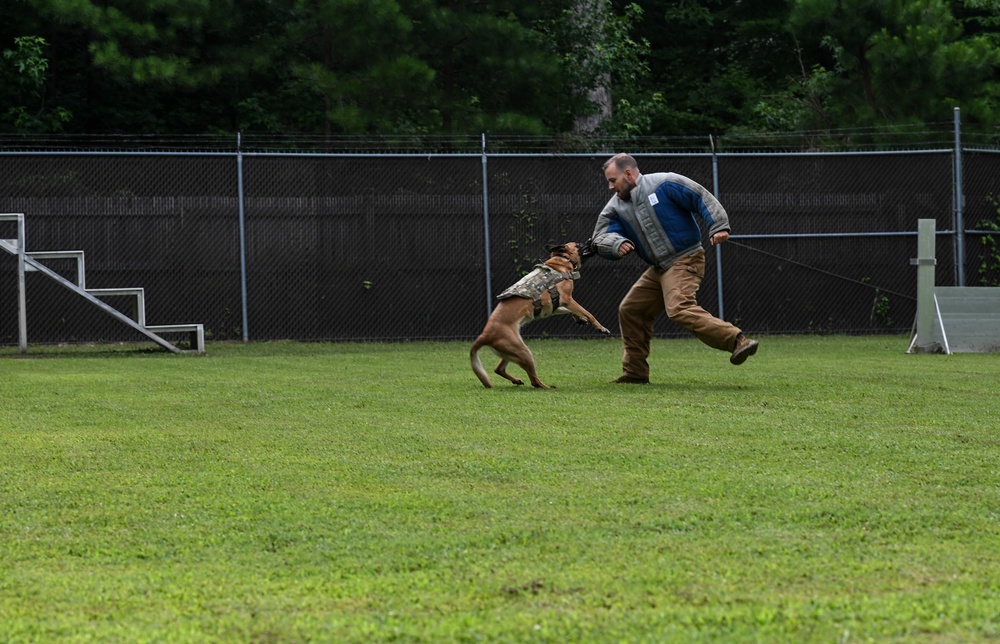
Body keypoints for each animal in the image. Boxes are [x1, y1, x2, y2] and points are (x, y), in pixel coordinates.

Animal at [470, 240, 608, 388]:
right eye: (578, 244)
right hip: (524, 352)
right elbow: (588, 313)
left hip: (512, 351)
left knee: (499, 369)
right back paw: (548, 387)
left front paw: (580, 319)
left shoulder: (555, 306)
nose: (591, 241)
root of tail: (485, 335)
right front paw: (600, 327)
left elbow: (571, 311)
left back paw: (516, 380)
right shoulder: (567, 299)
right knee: (534, 381)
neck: (562, 260)